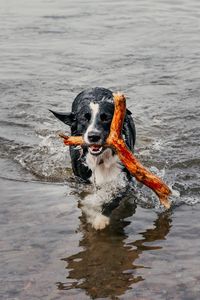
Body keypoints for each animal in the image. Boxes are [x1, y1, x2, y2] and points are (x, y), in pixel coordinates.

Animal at [50, 86, 137, 230]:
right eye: (84, 119)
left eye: (106, 118)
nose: (93, 136)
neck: (101, 159)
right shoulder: (81, 180)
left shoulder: (124, 181)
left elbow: (113, 200)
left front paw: (101, 219)